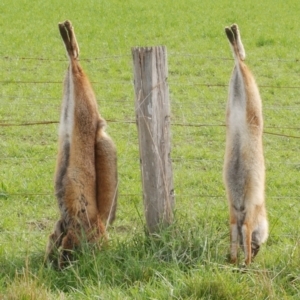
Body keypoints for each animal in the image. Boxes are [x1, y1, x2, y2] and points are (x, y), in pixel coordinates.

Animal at [46, 19, 118, 268]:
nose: (104, 252)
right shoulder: (74, 231)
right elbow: (64, 246)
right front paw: (59, 266)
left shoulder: (65, 226)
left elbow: (55, 239)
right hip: (84, 106)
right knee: (75, 59)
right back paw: (68, 35)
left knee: (73, 60)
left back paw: (65, 30)